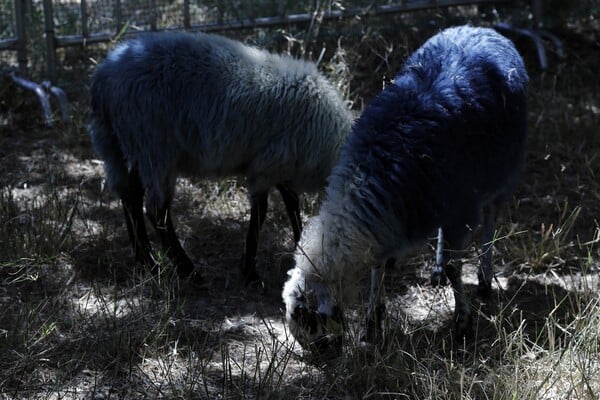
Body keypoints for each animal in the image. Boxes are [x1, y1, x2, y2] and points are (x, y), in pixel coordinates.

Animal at [86, 31, 354, 282]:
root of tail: (103, 80)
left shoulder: (280, 166)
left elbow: (291, 203)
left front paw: (300, 244)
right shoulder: (270, 163)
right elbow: (262, 211)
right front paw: (249, 271)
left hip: (115, 145)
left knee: (129, 196)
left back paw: (147, 262)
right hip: (154, 147)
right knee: (156, 210)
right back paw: (187, 271)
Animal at [284, 24, 528, 350]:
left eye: (310, 319)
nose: (320, 352)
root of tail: (481, 29)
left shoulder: (461, 207)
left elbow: (456, 267)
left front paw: (463, 323)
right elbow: (379, 266)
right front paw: (372, 325)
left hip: (502, 174)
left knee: (490, 222)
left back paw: (485, 279)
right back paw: (437, 270)